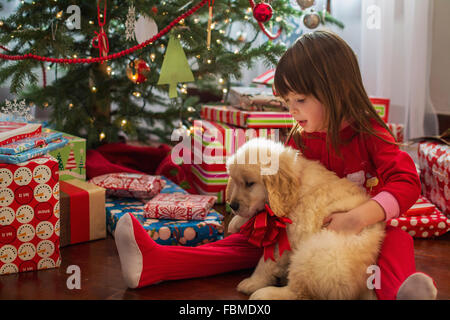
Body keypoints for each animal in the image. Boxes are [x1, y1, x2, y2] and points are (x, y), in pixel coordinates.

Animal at [227, 138, 384, 300]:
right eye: (235, 181)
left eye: (249, 183)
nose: (232, 205)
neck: (297, 186)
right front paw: (236, 222)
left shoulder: (289, 239)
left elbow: (268, 263)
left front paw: (253, 282)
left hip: (314, 252)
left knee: (298, 292)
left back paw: (264, 293)